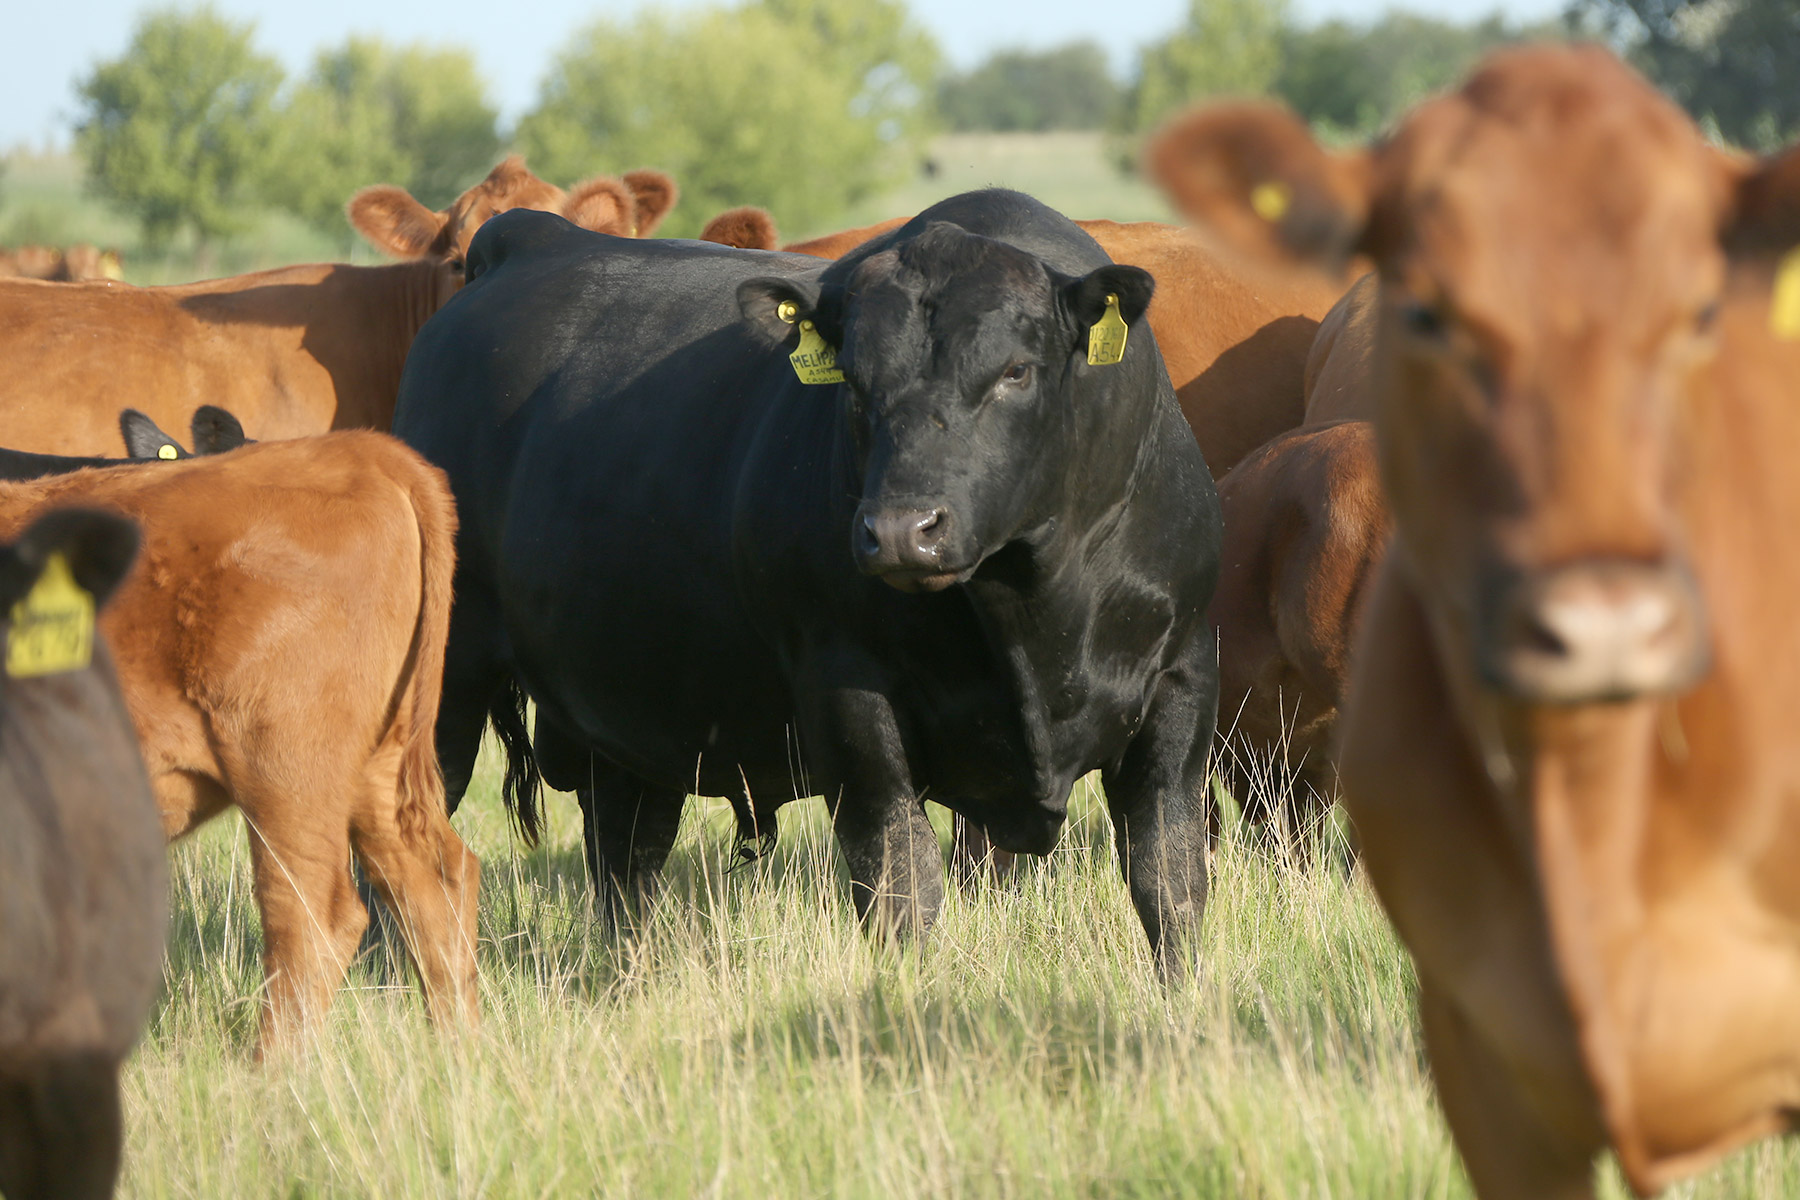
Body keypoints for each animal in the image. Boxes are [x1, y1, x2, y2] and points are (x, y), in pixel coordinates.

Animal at [0, 433, 478, 1050]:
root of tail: (358, 450)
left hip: (285, 772)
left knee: (310, 916)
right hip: (376, 772)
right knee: (434, 886)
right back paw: (459, 1050)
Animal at [397, 195, 1224, 964]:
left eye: (1017, 371)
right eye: (852, 383)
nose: (901, 530)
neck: (1033, 610)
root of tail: (526, 236)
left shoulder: (1183, 687)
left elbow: (1171, 882)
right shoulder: (850, 700)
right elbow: (900, 887)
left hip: (627, 706)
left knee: (626, 854)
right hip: (443, 684)